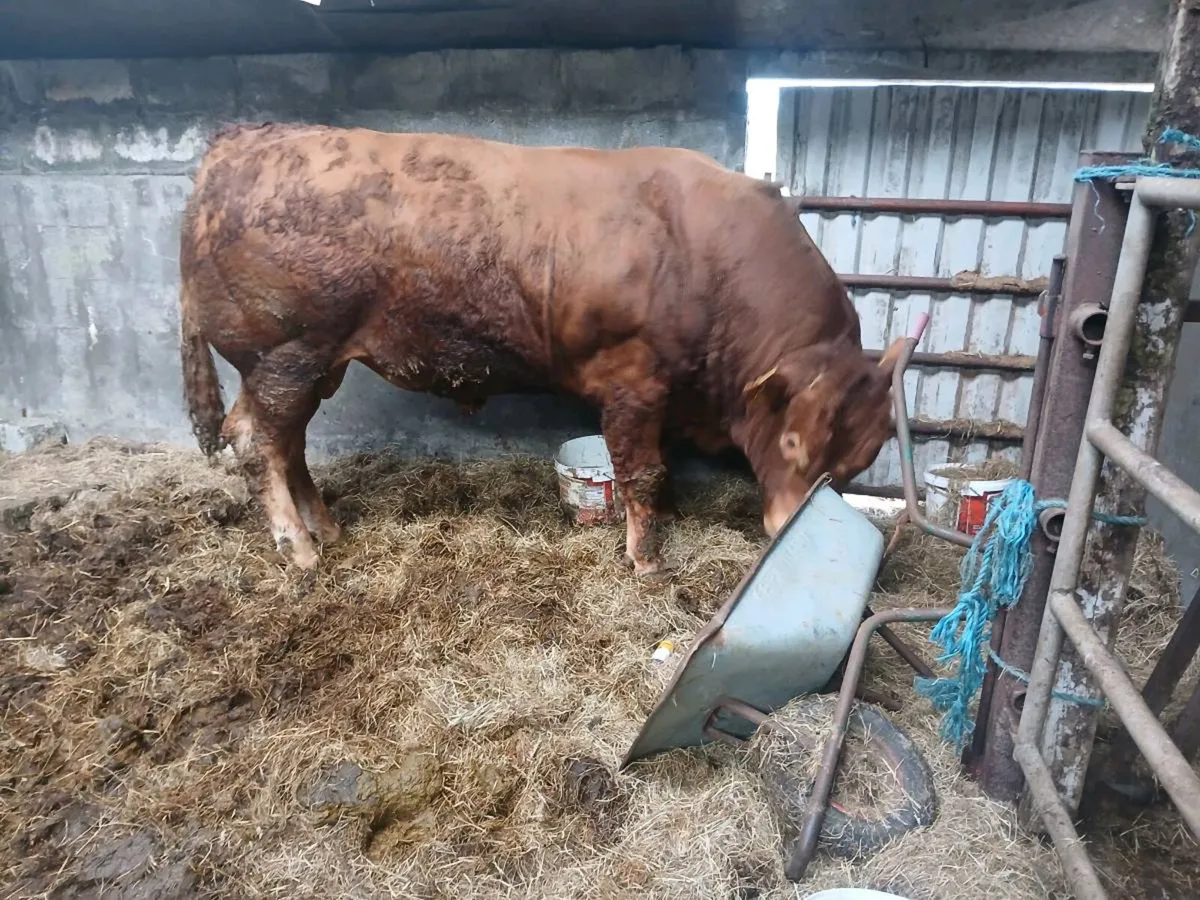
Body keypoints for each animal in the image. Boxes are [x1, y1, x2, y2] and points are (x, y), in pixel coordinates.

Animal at [179, 123, 904, 575]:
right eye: (793, 442)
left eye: (860, 461)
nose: (788, 529)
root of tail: (240, 140)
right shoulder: (633, 377)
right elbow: (641, 467)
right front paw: (647, 558)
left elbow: (655, 467)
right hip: (285, 354)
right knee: (258, 442)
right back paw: (298, 547)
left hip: (307, 365)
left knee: (288, 443)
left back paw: (325, 529)